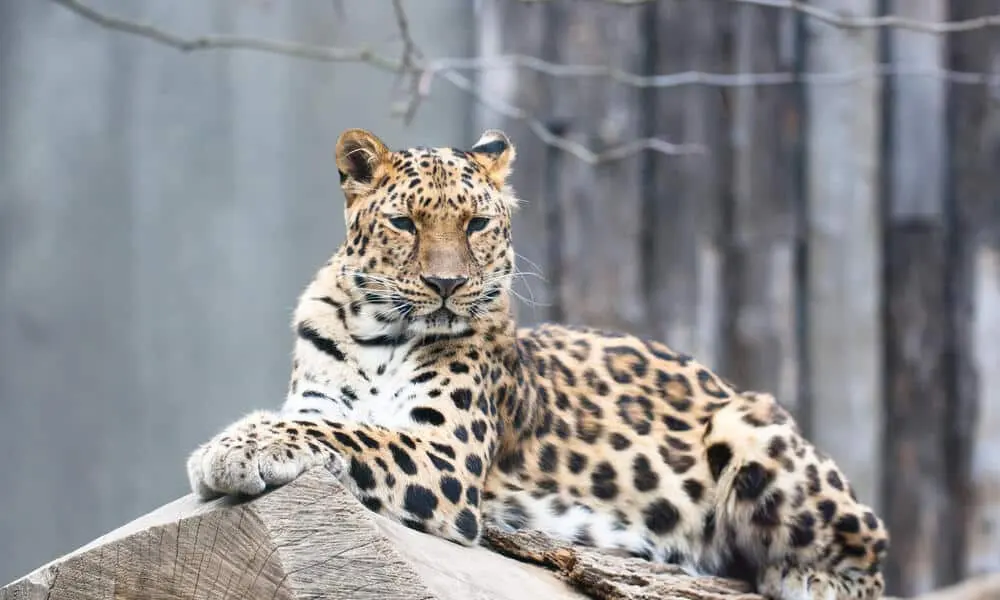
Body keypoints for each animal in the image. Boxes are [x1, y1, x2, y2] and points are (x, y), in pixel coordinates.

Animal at [186, 127, 889, 600]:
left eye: (476, 224)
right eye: (404, 223)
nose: (447, 284)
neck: (378, 334)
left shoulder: (445, 454)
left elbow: (349, 432)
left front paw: (232, 448)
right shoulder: (328, 400)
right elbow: (328, 420)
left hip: (751, 426)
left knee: (872, 548)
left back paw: (804, 577)